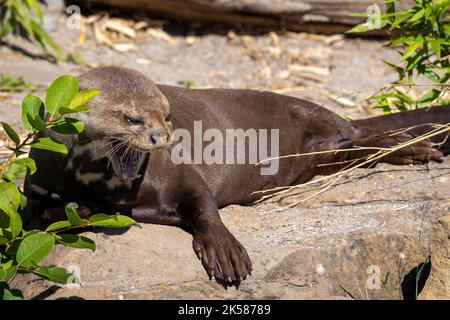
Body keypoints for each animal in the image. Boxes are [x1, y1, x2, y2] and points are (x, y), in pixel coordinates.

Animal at [26, 66, 450, 286]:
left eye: (166, 112)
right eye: (130, 117)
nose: (163, 137)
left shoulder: (179, 172)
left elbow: (204, 204)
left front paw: (224, 250)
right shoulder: (38, 182)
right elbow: (43, 213)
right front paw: (79, 208)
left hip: (317, 120)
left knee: (357, 137)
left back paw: (410, 147)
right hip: (316, 157)